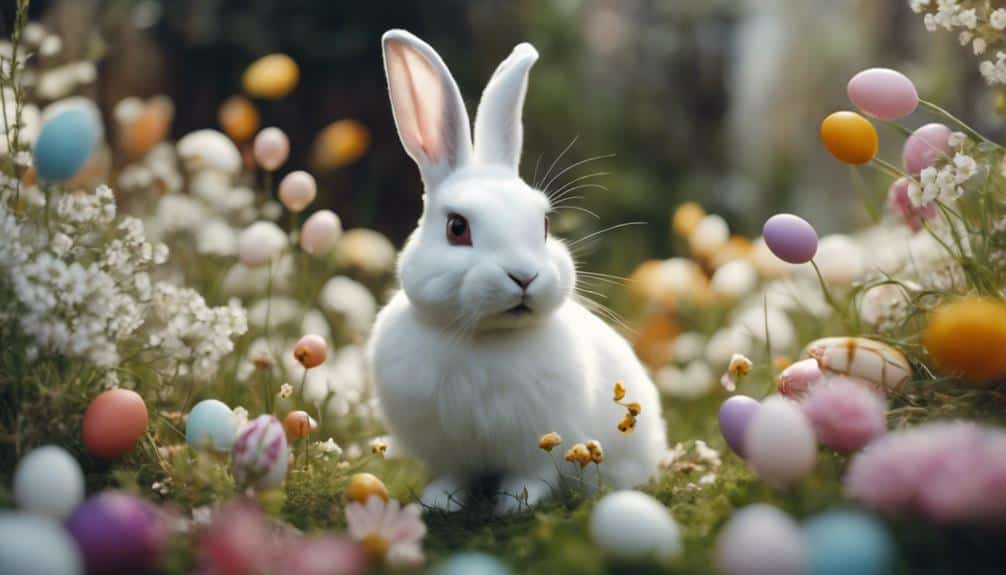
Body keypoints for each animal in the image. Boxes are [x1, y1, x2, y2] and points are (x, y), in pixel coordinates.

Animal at [367, 29, 668, 514]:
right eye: (457, 228)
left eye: (543, 225)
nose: (524, 277)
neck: (485, 339)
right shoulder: (447, 452)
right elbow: (453, 476)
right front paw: (438, 504)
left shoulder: (537, 446)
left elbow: (532, 476)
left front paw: (514, 505)